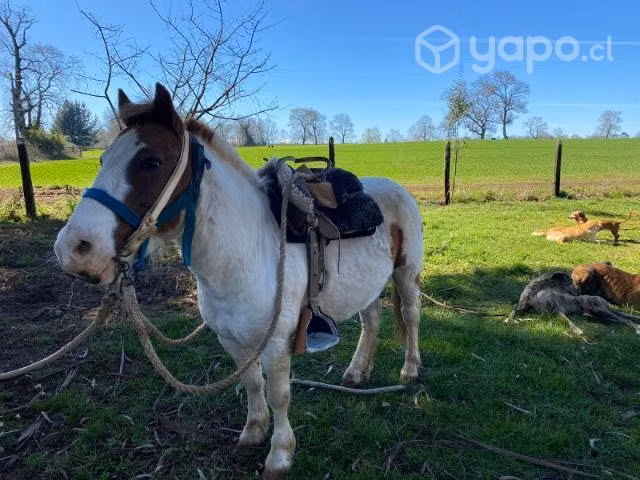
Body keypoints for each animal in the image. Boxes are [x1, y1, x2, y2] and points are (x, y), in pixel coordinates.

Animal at [54, 83, 424, 478]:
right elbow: (251, 384)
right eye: (102, 160)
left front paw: (279, 455)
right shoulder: (231, 340)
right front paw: (253, 432)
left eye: (151, 162)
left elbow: (279, 394)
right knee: (371, 320)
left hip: (405, 274)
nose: (74, 249)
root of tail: (394, 187)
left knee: (411, 316)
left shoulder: (276, 343)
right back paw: (356, 372)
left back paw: (410, 369)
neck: (244, 254)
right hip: (367, 285)